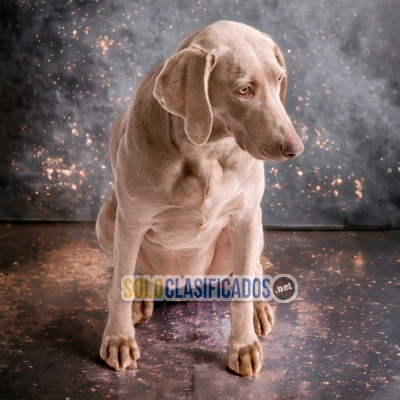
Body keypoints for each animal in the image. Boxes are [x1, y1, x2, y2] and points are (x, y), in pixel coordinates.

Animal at [97, 19, 304, 378]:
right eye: (244, 90)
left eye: (279, 79)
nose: (295, 148)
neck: (205, 151)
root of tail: (188, 284)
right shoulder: (132, 220)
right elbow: (119, 283)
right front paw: (119, 339)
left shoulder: (246, 215)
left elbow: (242, 289)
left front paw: (243, 345)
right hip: (108, 216)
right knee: (132, 268)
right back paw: (140, 295)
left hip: (249, 232)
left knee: (251, 268)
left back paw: (260, 306)